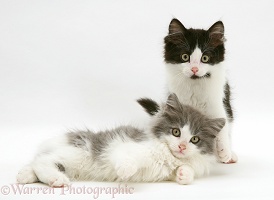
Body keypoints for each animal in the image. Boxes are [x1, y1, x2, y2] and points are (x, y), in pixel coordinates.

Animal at [17, 93, 226, 186]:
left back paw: (25, 176)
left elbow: (186, 172)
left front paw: (184, 174)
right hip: (79, 154)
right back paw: (56, 179)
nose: (182, 146)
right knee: (42, 160)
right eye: (176, 132)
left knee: (39, 161)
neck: (168, 155)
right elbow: (126, 159)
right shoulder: (125, 147)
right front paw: (126, 172)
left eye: (195, 140)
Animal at [164, 18, 237, 163]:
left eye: (205, 58)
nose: (194, 69)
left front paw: (224, 151)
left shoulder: (217, 103)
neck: (195, 85)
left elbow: (223, 125)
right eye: (185, 57)